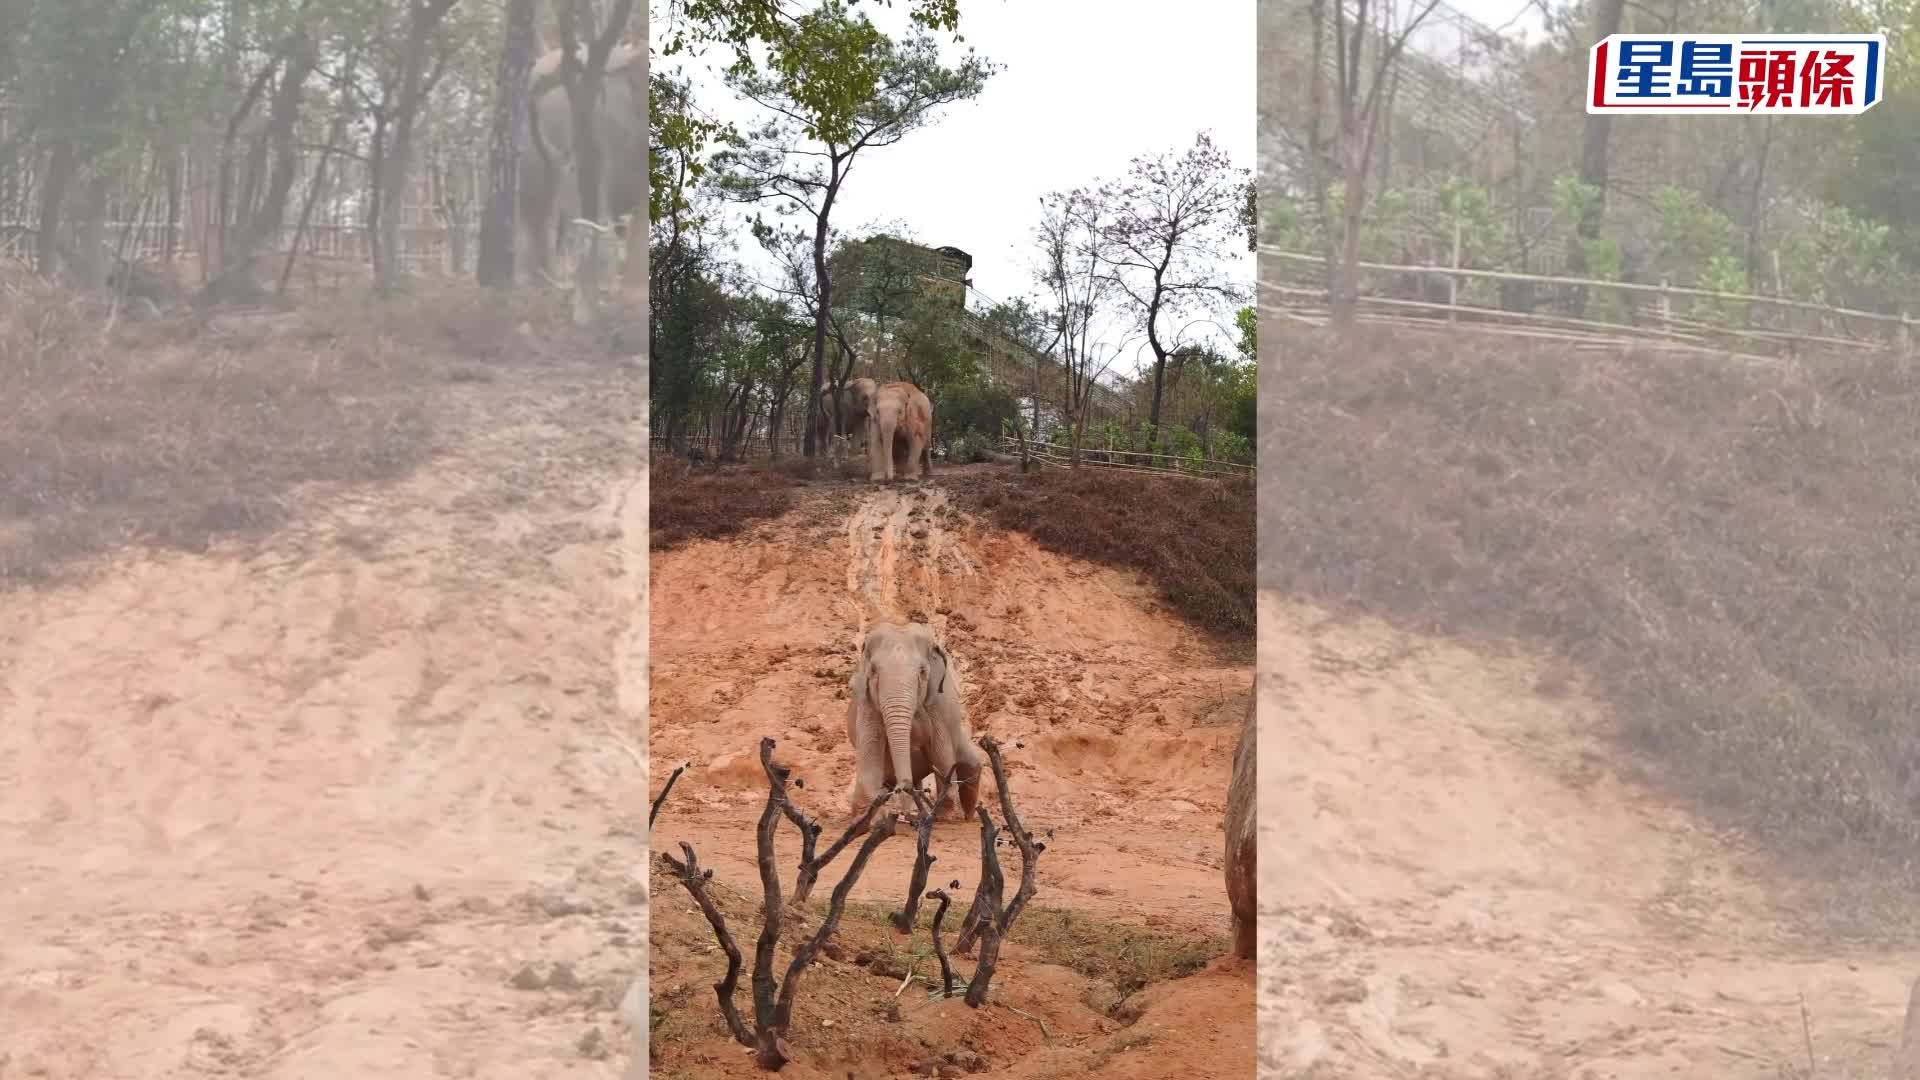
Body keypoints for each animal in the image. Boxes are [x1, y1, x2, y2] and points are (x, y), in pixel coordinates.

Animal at [848, 614, 983, 822]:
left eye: (922, 671)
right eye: (874, 671)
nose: (902, 788)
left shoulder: (939, 702)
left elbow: (940, 747)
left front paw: (944, 815)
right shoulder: (866, 702)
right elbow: (871, 745)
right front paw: (868, 818)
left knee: (970, 764)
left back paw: (966, 817)